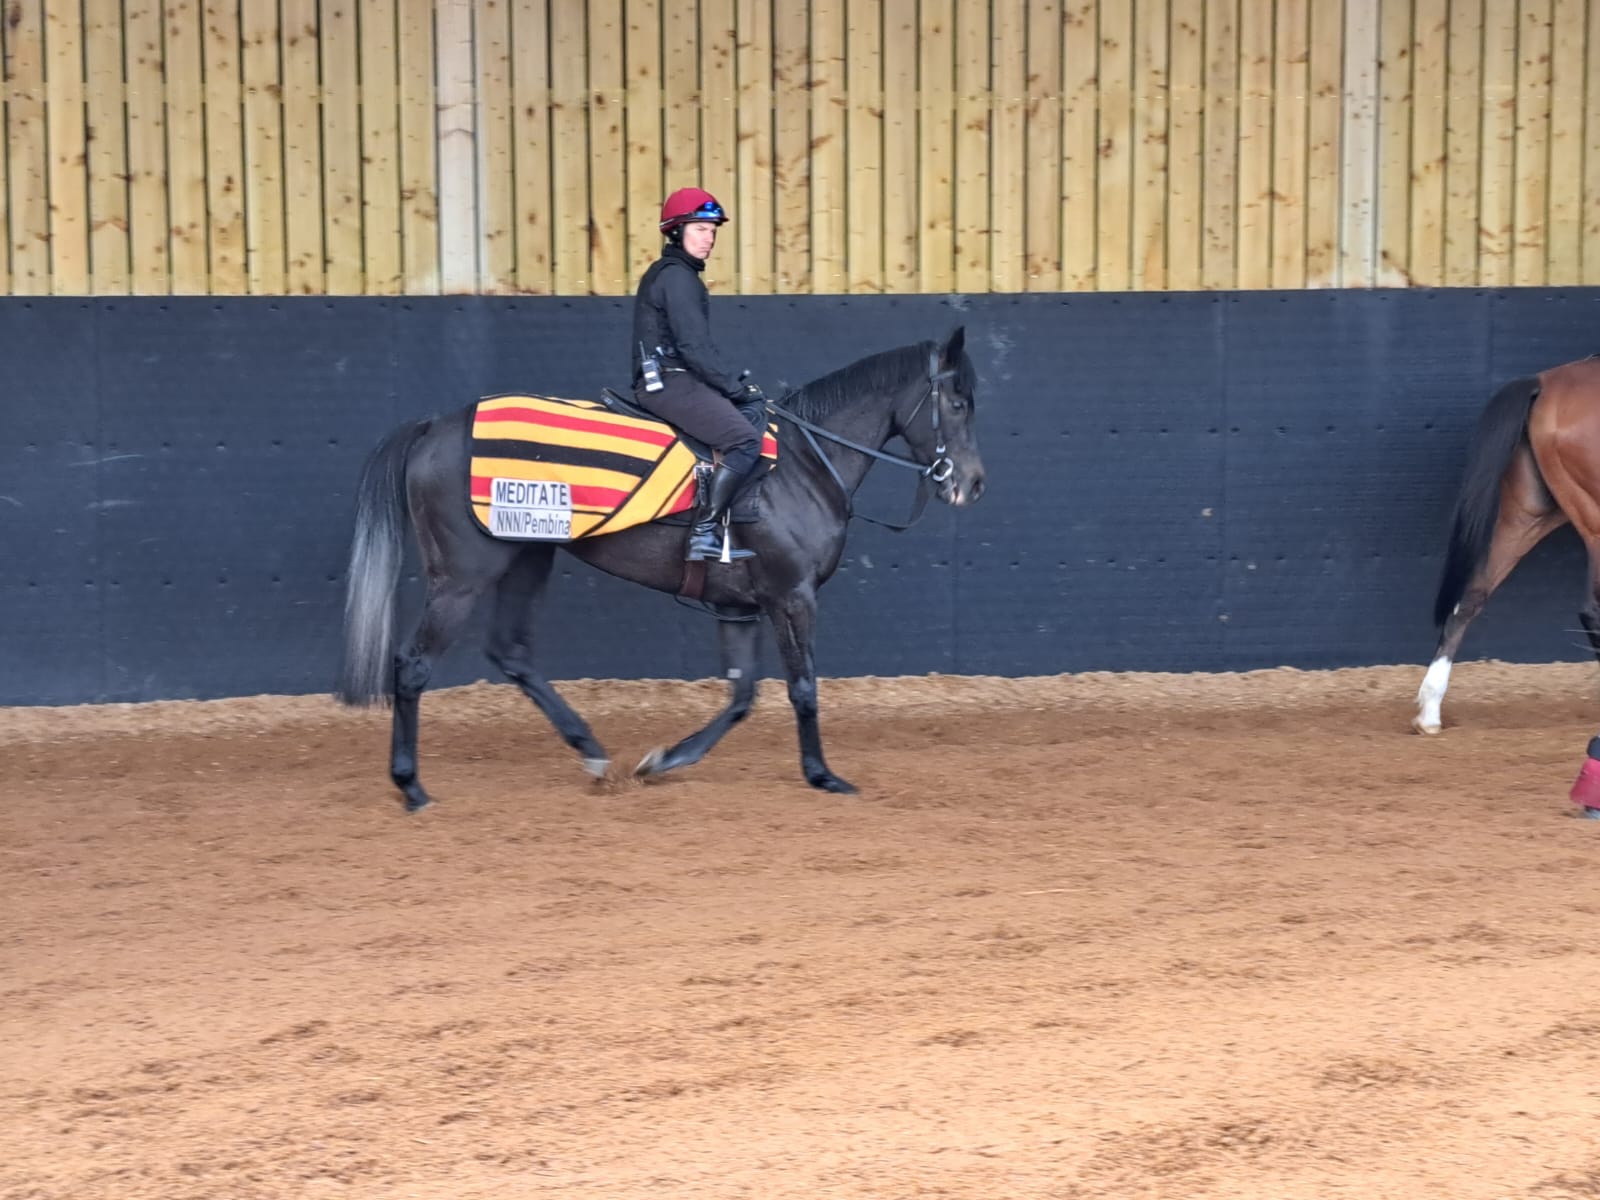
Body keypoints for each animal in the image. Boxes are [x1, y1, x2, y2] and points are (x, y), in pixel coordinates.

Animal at [339, 329, 985, 812]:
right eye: (957, 404)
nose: (972, 484)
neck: (801, 465)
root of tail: (436, 426)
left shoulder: (739, 606)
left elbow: (742, 695)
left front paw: (666, 760)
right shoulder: (792, 596)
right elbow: (802, 688)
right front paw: (822, 774)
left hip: (528, 556)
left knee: (511, 653)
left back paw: (592, 752)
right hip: (463, 578)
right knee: (414, 665)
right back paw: (411, 785)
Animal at [1414, 352, 1600, 742]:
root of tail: (1545, 382)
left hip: (1527, 516)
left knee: (1468, 598)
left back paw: (1429, 713)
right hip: (1594, 521)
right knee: (1592, 610)